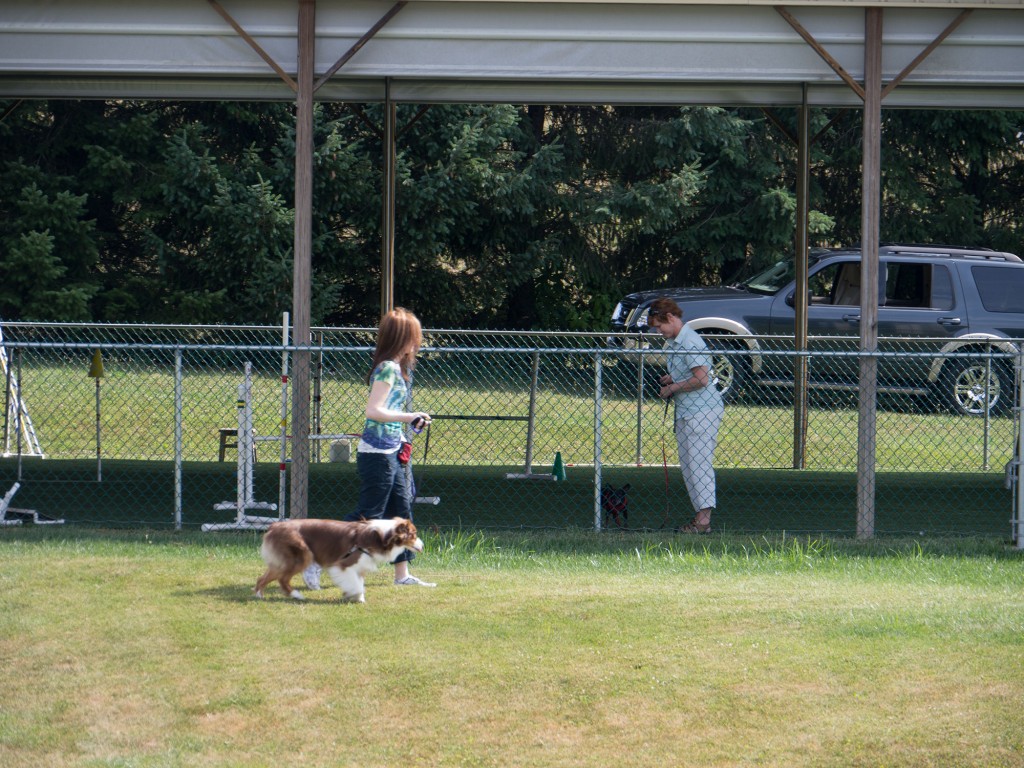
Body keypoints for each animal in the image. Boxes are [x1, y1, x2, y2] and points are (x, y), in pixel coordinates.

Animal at [256, 520, 423, 606]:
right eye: (414, 535)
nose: (423, 545)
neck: (382, 537)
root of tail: (274, 526)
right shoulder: (344, 565)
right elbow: (356, 585)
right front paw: (354, 595)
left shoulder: (359, 567)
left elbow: (359, 583)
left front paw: (358, 598)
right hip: (301, 556)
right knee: (282, 579)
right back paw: (296, 595)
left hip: (283, 561)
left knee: (262, 578)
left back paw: (259, 596)